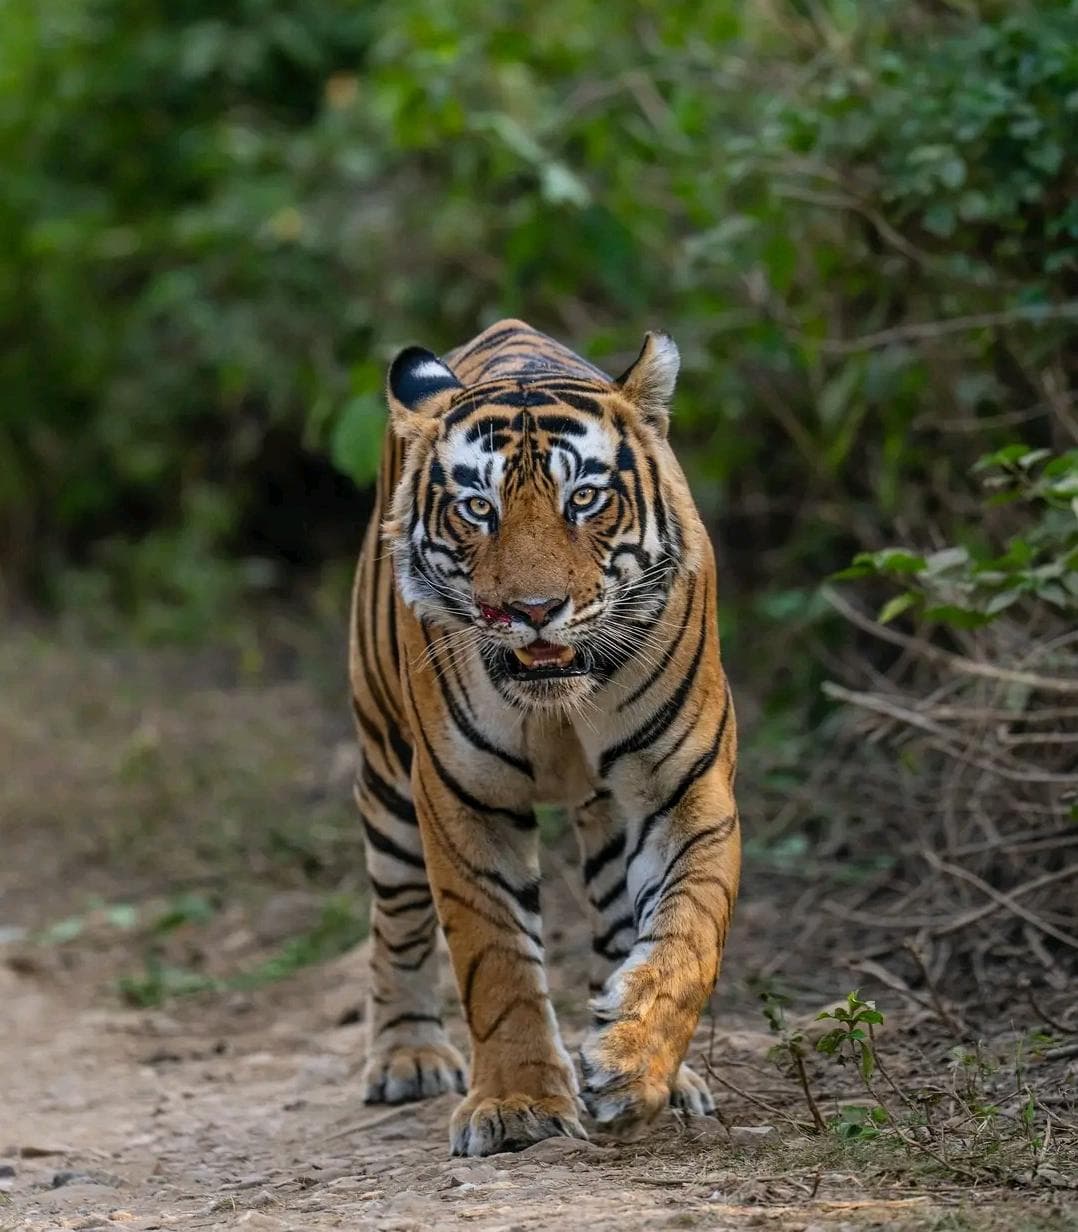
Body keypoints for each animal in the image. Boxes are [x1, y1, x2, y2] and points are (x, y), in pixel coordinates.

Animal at [348, 319, 740, 1157]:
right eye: (478, 508)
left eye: (583, 499)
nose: (532, 610)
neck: (560, 706)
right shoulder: (461, 797)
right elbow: (494, 959)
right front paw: (517, 1106)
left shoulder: (685, 787)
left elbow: (687, 935)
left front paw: (631, 1065)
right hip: (386, 775)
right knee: (397, 920)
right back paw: (408, 1056)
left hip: (608, 814)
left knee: (619, 924)